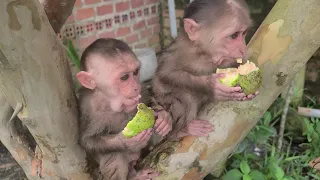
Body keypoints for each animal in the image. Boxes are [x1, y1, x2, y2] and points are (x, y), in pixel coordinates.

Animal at [76, 38, 171, 180]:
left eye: (136, 72)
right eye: (124, 77)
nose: (136, 87)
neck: (110, 102)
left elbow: (146, 99)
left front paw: (163, 116)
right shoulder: (89, 108)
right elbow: (88, 140)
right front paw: (125, 141)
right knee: (115, 155)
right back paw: (133, 175)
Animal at [151, 0, 258, 141]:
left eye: (244, 33)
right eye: (234, 36)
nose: (243, 48)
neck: (204, 53)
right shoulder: (181, 50)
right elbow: (166, 73)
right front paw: (211, 86)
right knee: (185, 96)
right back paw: (180, 131)